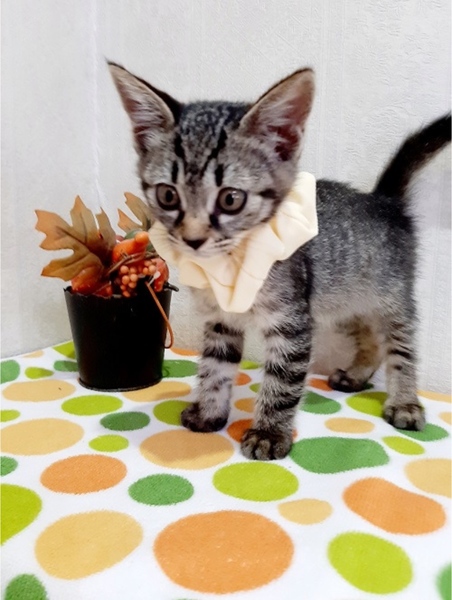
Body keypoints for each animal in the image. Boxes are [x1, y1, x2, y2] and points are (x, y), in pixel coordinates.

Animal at [109, 62, 451, 460]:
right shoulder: (224, 319)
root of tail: (383, 201)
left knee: (400, 345)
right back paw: (357, 373)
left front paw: (269, 433)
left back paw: (405, 402)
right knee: (369, 337)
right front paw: (209, 411)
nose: (192, 238)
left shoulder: (292, 322)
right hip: (338, 299)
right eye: (167, 195)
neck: (231, 259)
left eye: (230, 199)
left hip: (390, 297)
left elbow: (283, 381)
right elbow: (215, 367)